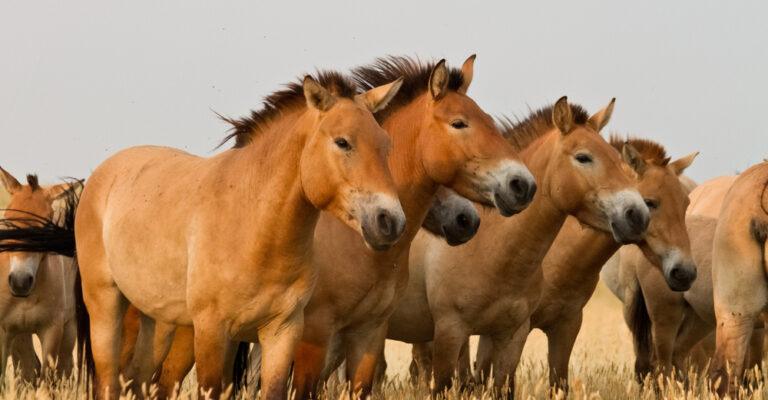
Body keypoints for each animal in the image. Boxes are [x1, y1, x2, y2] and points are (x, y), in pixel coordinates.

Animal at [0, 168, 80, 381]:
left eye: (45, 228)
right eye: (8, 223)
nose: (20, 281)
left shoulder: (52, 330)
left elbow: (47, 377)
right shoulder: (6, 331)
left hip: (69, 330)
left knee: (64, 368)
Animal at [387, 97, 649, 397]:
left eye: (617, 159)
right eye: (583, 157)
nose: (637, 214)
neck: (491, 249)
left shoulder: (512, 336)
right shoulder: (450, 331)